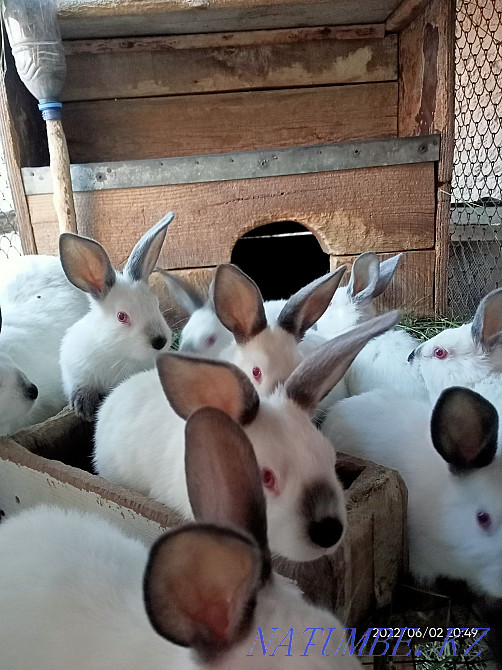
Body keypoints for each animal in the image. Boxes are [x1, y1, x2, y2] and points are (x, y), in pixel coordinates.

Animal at [59, 213, 174, 421]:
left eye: (155, 304)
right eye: (121, 316)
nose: (160, 341)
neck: (118, 354)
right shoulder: (76, 371)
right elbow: (80, 386)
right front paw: (84, 407)